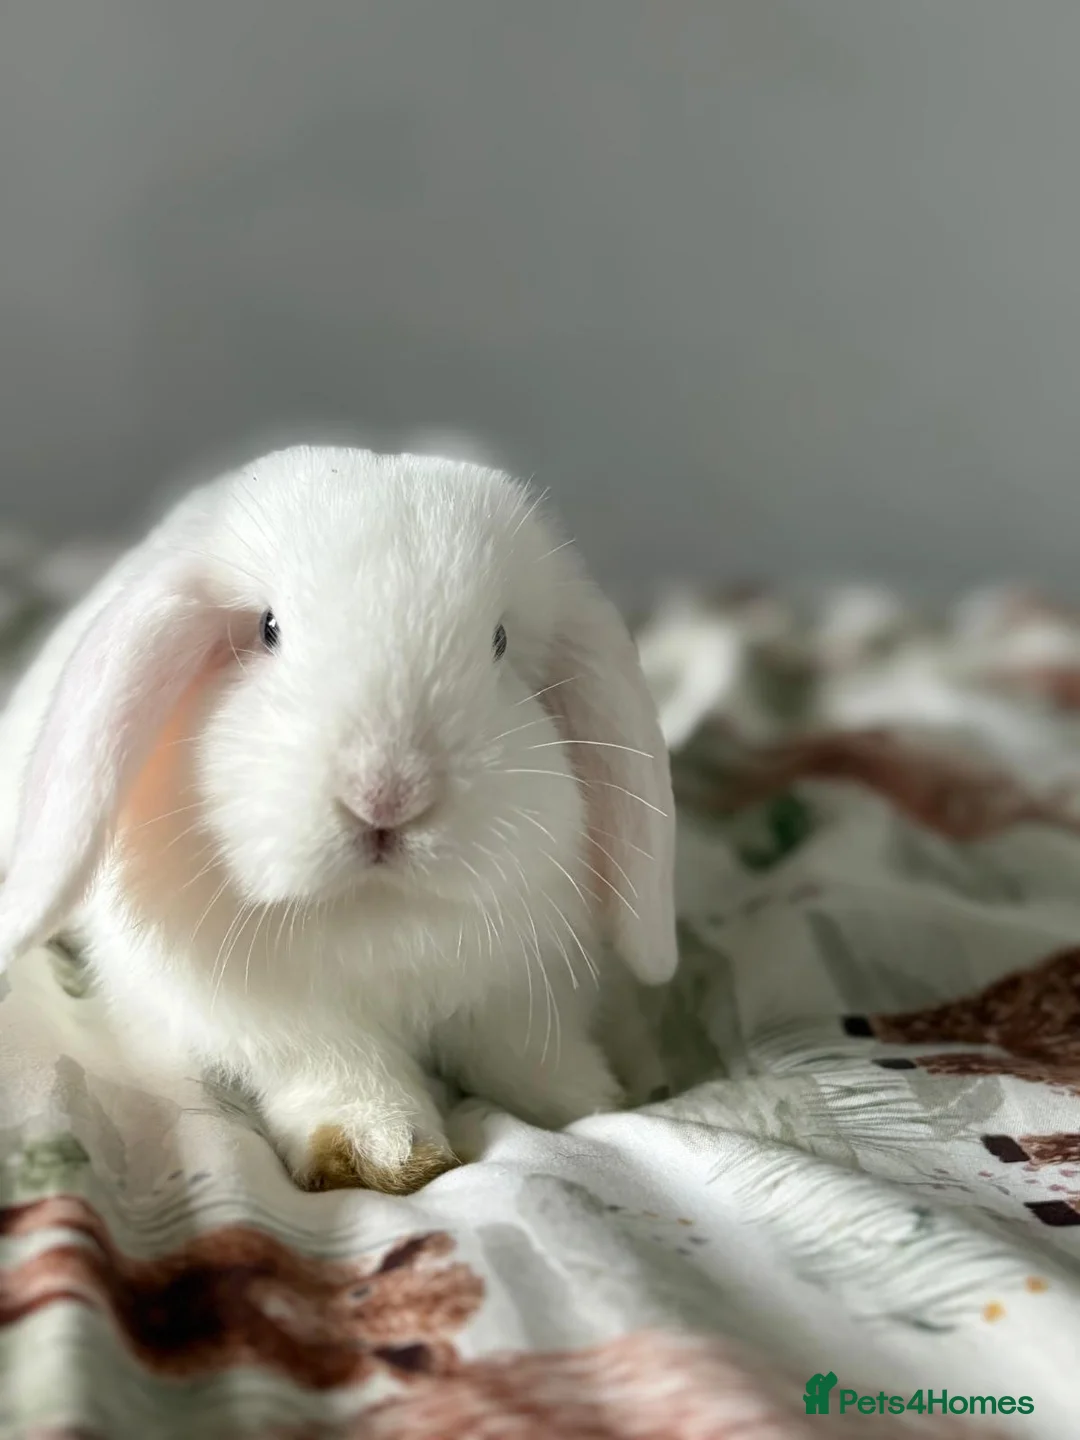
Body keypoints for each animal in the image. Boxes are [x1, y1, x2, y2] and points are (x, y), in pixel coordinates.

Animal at [0, 446, 677, 1195]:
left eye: (499, 641)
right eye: (268, 629)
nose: (387, 795)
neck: (376, 918)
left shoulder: (523, 991)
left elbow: (521, 1053)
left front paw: (590, 1099)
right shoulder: (281, 1026)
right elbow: (344, 1075)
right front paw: (387, 1156)